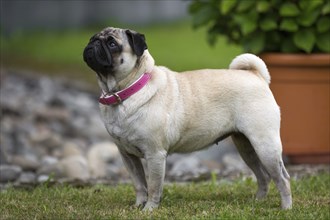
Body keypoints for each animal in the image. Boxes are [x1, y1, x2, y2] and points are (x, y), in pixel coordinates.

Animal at [82, 27, 292, 211]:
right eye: (92, 38)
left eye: (112, 43)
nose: (93, 43)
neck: (128, 89)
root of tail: (255, 75)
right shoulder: (128, 156)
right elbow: (139, 185)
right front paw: (138, 206)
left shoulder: (155, 154)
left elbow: (153, 186)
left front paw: (149, 209)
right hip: (246, 147)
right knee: (263, 176)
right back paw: (257, 202)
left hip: (265, 146)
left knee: (282, 178)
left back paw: (286, 208)